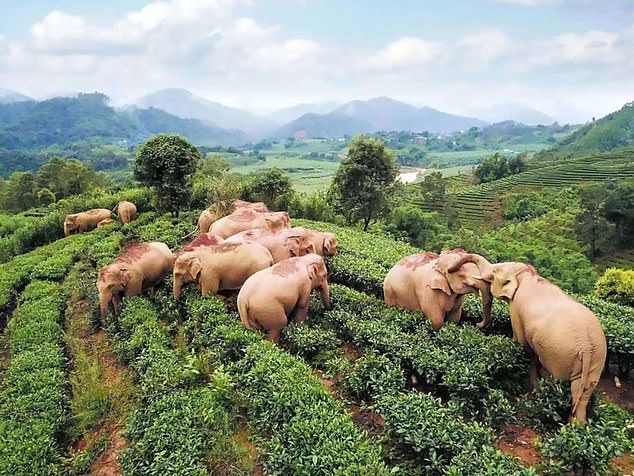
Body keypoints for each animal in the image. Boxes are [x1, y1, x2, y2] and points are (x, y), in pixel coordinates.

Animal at [450, 255, 608, 422]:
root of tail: (586, 347)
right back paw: (576, 426)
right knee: (582, 391)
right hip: (597, 359)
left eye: (494, 271)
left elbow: (522, 343)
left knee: (559, 380)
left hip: (560, 355)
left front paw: (532, 385)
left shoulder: (516, 309)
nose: (477, 324)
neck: (526, 274)